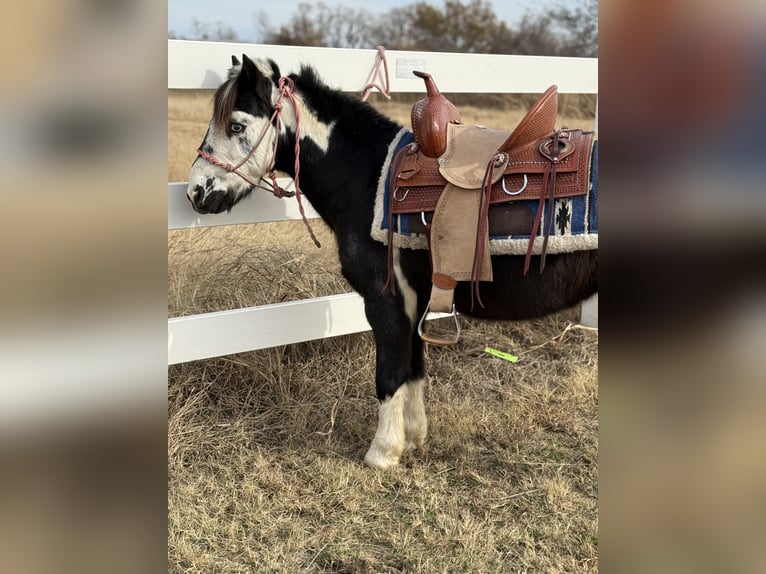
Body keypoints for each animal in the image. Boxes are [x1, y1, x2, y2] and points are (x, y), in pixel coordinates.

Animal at [186, 54, 598, 470]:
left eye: (236, 125)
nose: (195, 191)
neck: (368, 177)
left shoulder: (385, 299)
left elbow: (389, 374)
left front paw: (382, 453)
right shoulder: (415, 301)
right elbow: (413, 368)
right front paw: (413, 438)